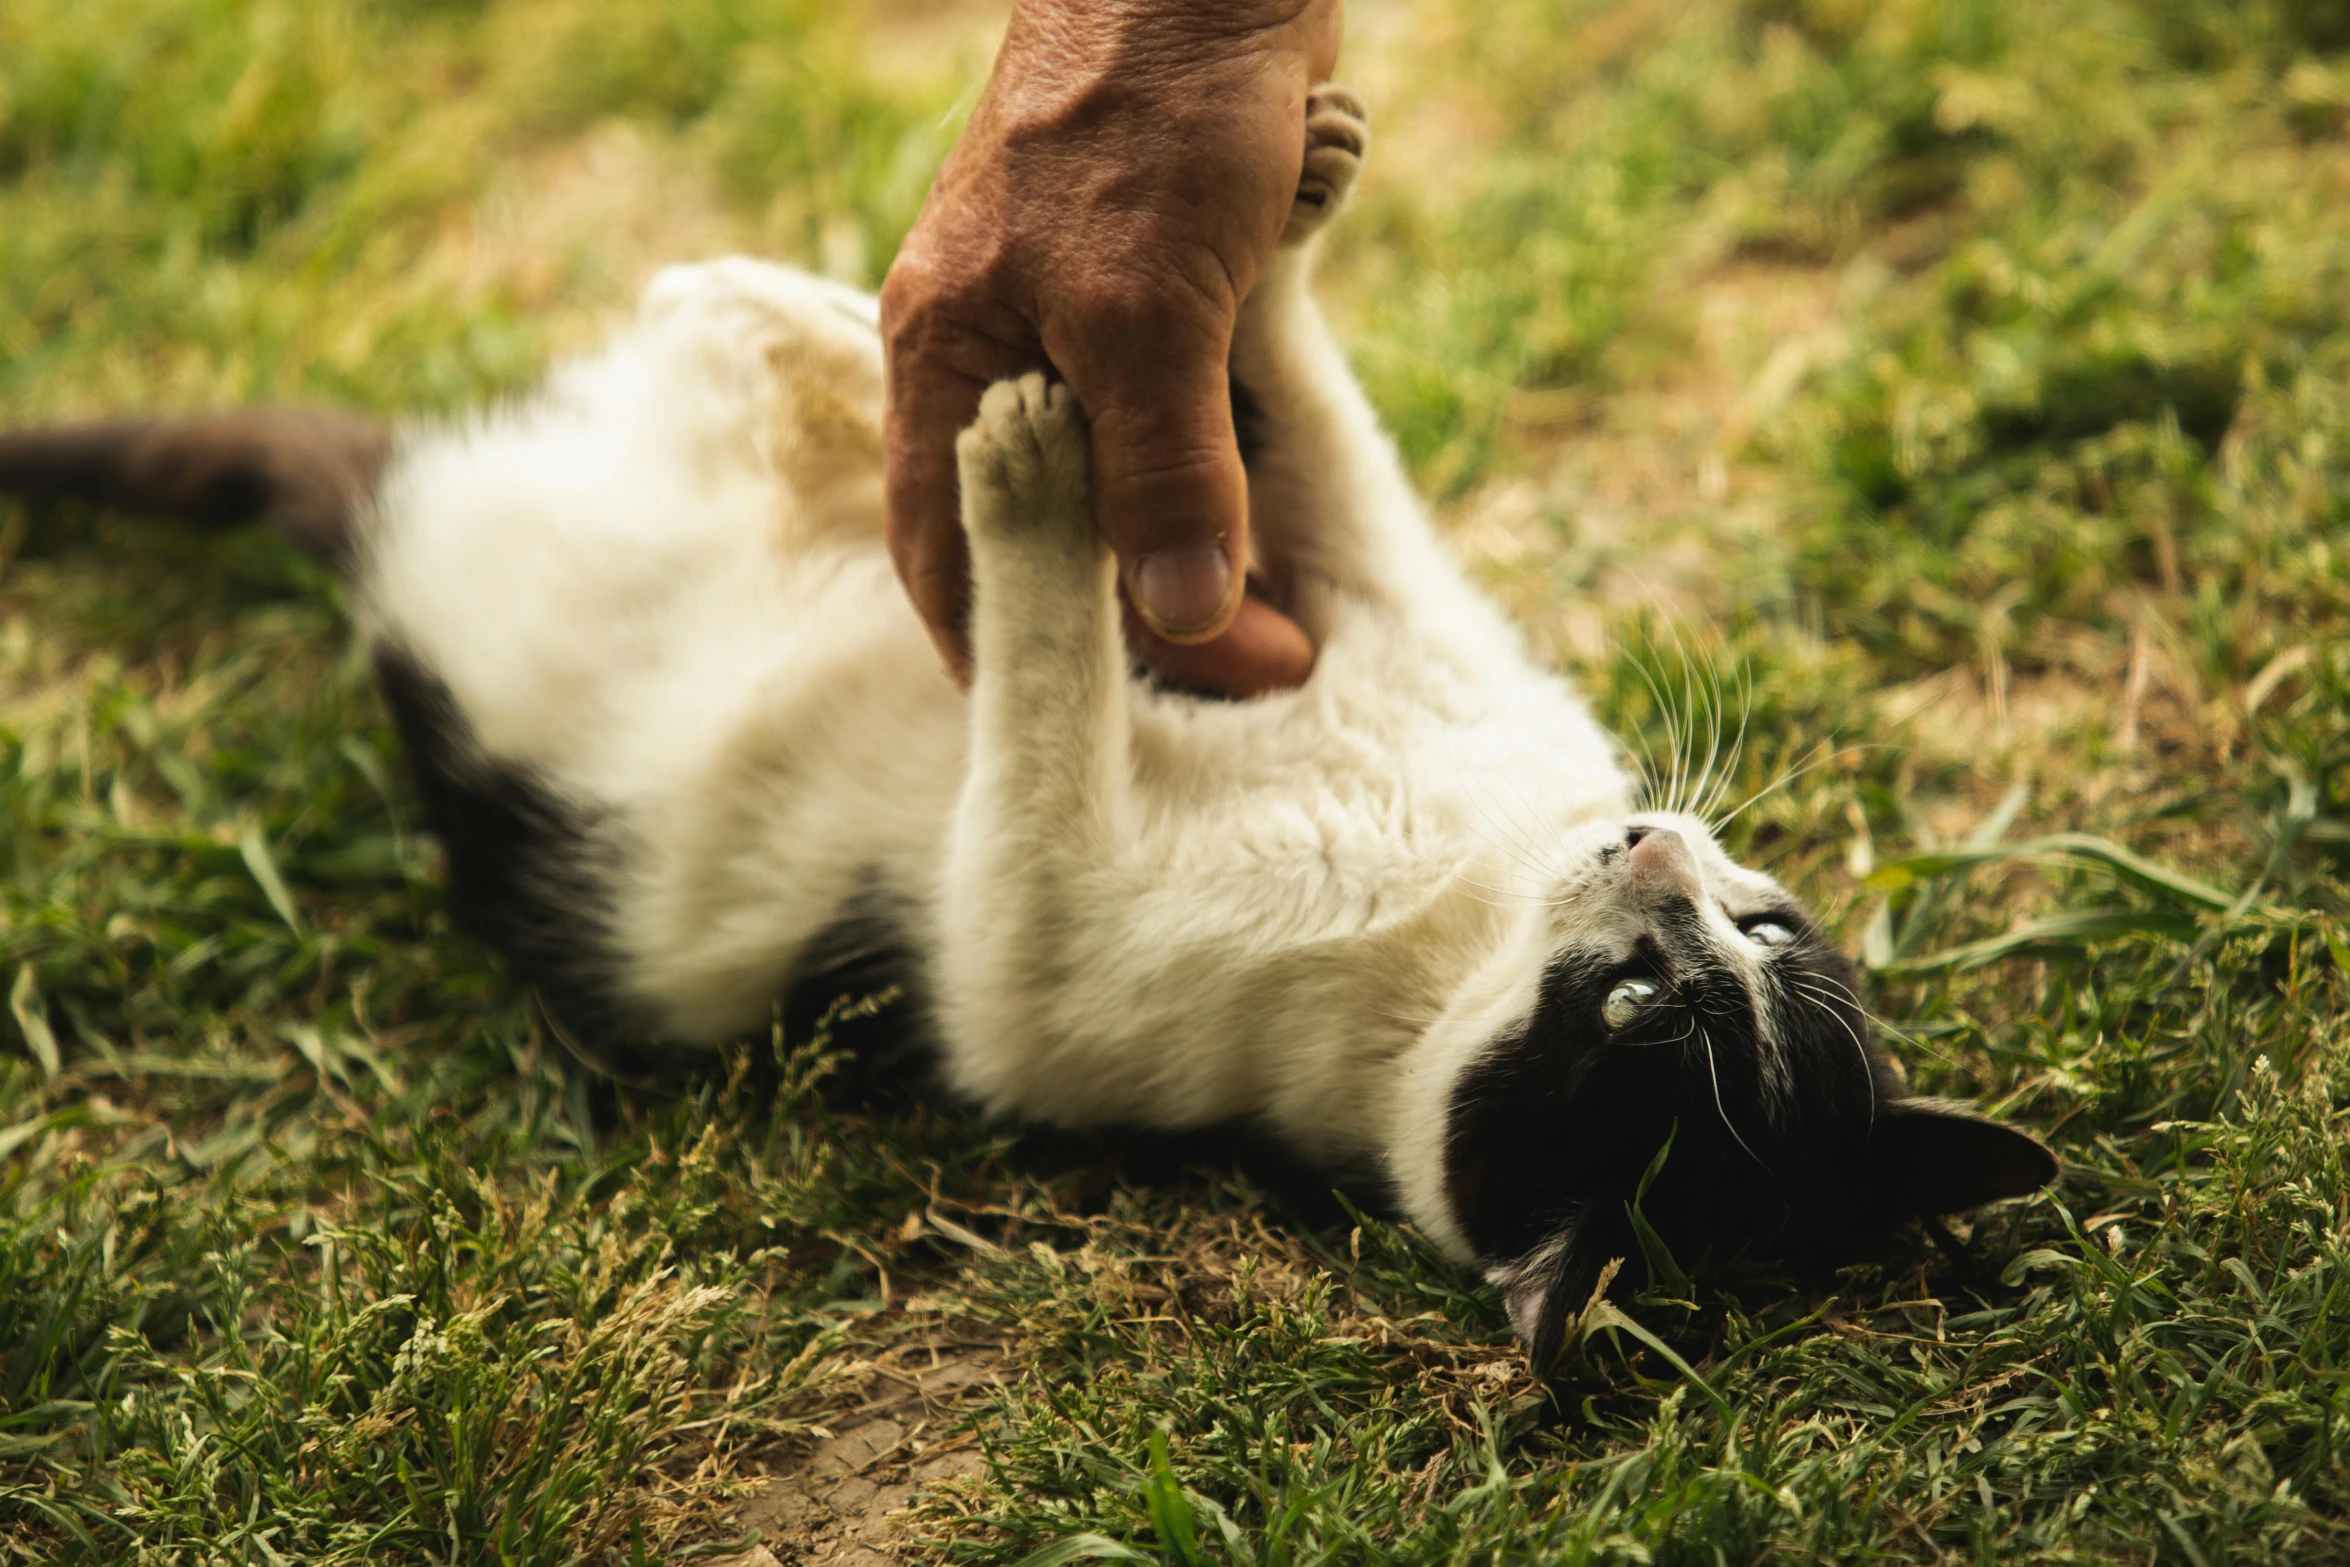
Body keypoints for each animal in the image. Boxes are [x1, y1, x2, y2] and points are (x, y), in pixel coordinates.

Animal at [0, 88, 2049, 1372]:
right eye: (1755, 928)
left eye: (1645, 1009)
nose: (1650, 847)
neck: (1454, 904)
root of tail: (383, 533)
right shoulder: (1375, 608)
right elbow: (1329, 453)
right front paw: (1275, 221)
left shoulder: (1027, 945)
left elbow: (1042, 700)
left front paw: (1030, 494)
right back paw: (826, 321)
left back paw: (855, 374)